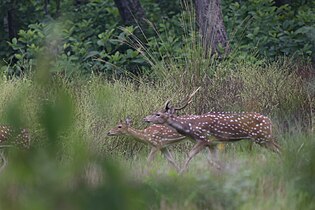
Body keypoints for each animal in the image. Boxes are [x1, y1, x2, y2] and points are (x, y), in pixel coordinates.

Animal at [144, 99, 280, 172]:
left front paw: (182, 171)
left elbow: (190, 154)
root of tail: (270, 121)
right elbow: (214, 160)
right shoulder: (212, 144)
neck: (190, 128)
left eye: (158, 114)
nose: (145, 118)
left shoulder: (203, 139)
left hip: (262, 137)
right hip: (264, 138)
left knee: (279, 149)